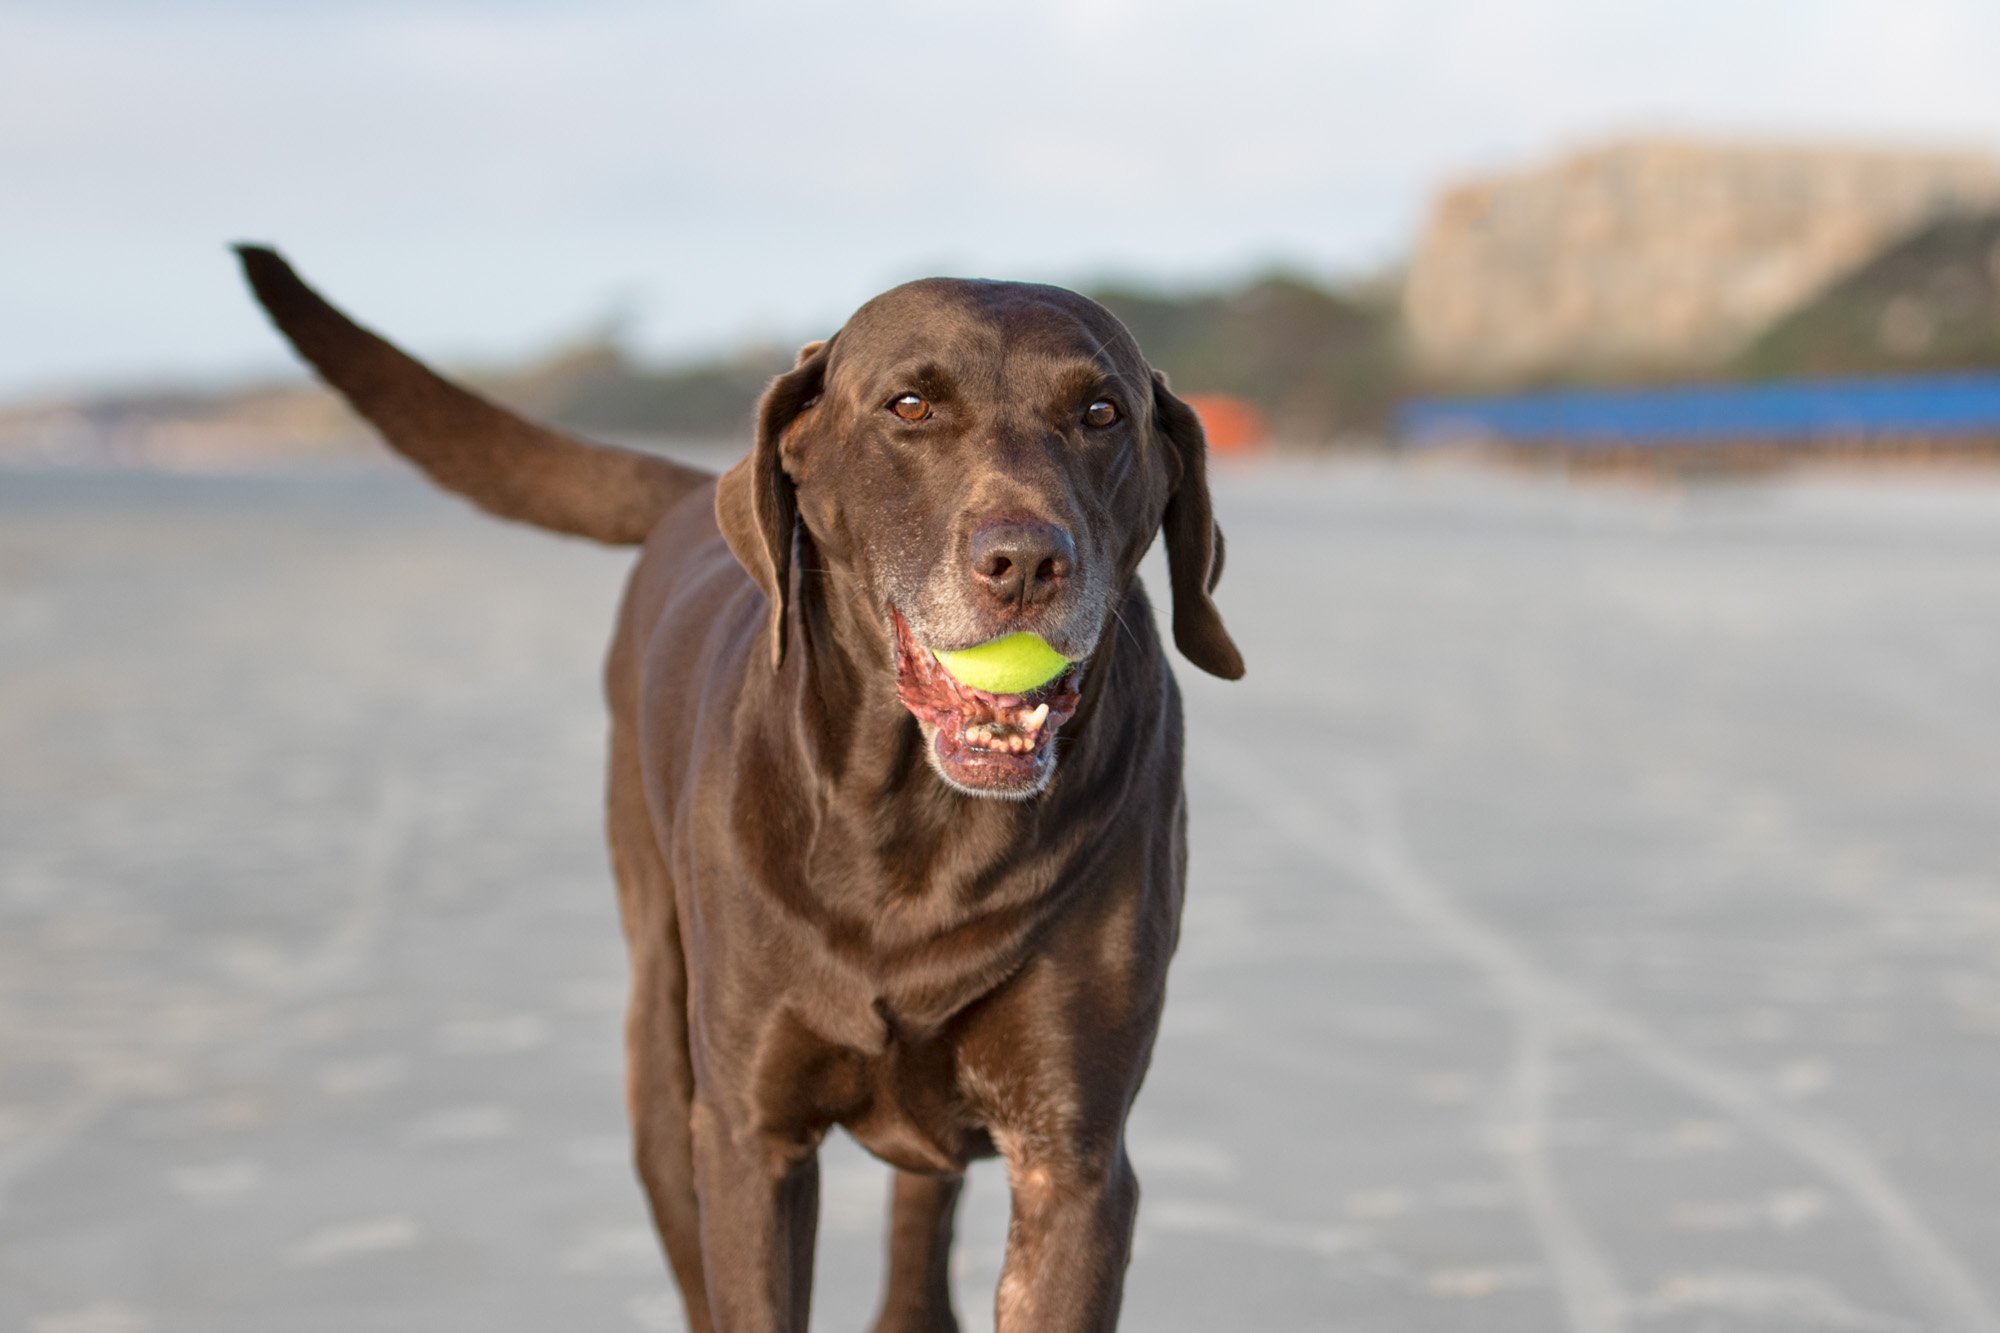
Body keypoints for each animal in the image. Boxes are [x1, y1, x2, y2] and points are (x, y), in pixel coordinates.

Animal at [234, 244, 1232, 1320]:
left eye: (1101, 413)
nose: (1026, 561)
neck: (917, 828)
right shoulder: (752, 1141)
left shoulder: (1071, 1163)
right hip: (663, 1059)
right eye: (911, 404)